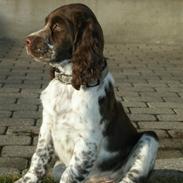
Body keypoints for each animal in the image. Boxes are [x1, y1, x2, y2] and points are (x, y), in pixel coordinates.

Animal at [16, 2, 159, 183]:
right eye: (46, 23)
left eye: (57, 26)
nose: (26, 41)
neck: (68, 83)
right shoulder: (47, 127)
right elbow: (39, 159)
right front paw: (26, 179)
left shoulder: (87, 140)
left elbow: (70, 173)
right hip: (58, 166)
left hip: (150, 138)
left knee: (131, 176)